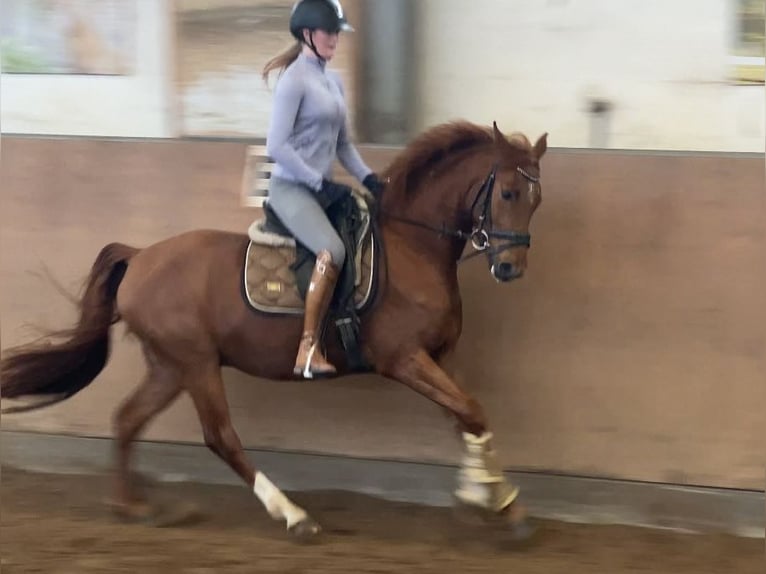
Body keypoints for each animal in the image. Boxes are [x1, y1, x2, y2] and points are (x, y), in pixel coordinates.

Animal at [1, 119, 552, 544]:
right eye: (507, 192)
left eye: (536, 199)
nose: (509, 268)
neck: (411, 245)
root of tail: (140, 258)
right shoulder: (404, 359)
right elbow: (471, 412)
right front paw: (496, 501)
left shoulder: (438, 357)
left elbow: (467, 417)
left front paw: (492, 499)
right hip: (196, 363)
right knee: (220, 436)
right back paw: (294, 515)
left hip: (169, 366)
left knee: (127, 420)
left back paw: (133, 508)